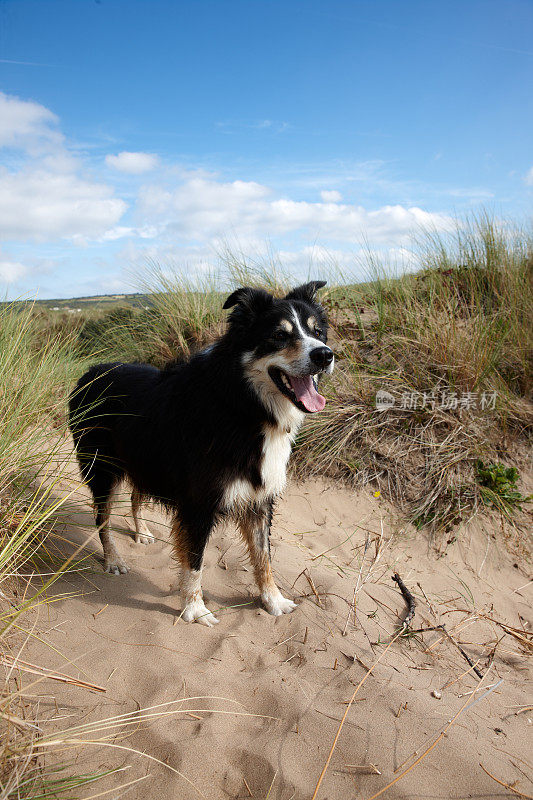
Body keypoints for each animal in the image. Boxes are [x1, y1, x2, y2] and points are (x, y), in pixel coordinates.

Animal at [67, 282, 332, 624]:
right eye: (279, 335)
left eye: (318, 332)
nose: (325, 355)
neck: (243, 407)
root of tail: (90, 372)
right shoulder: (199, 503)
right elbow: (194, 561)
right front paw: (195, 609)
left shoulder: (259, 499)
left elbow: (264, 557)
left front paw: (273, 601)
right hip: (103, 468)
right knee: (102, 517)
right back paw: (113, 559)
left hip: (145, 460)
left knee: (137, 496)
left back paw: (142, 532)